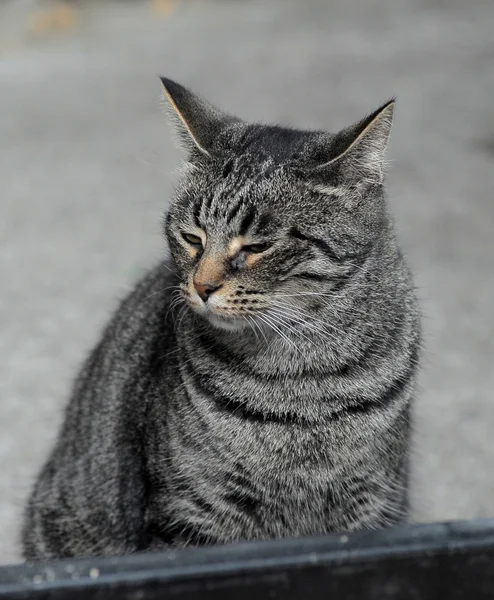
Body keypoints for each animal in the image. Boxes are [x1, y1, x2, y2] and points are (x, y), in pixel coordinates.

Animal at [20, 77, 420, 560]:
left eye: (257, 247)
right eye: (193, 237)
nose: (201, 286)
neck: (303, 383)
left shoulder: (373, 504)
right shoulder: (192, 515)